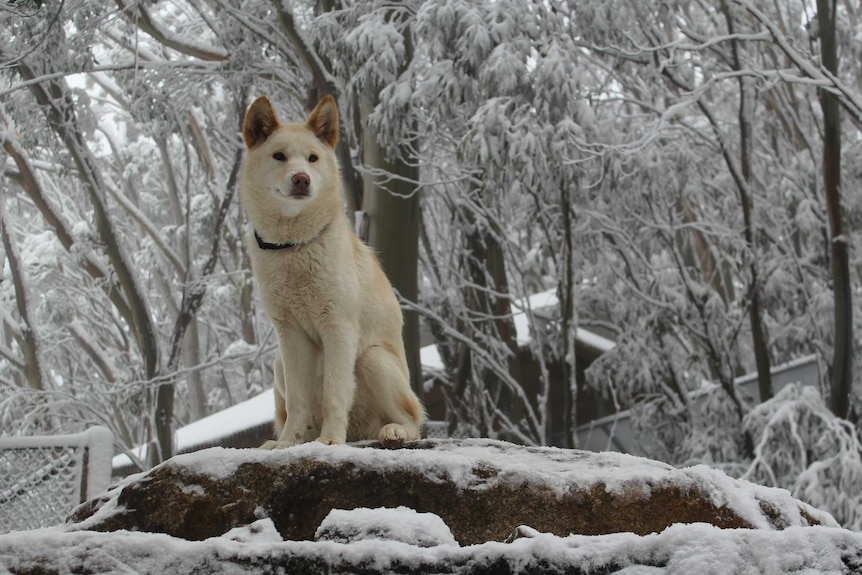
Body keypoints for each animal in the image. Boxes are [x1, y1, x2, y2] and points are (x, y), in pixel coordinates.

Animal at [240, 95, 428, 450]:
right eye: (279, 156)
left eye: (313, 158)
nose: (302, 178)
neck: (295, 245)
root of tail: (361, 431)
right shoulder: (290, 335)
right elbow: (298, 401)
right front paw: (288, 443)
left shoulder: (338, 327)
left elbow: (335, 392)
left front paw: (329, 441)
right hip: (278, 365)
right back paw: (293, 439)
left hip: (372, 359)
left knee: (413, 420)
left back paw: (392, 431)